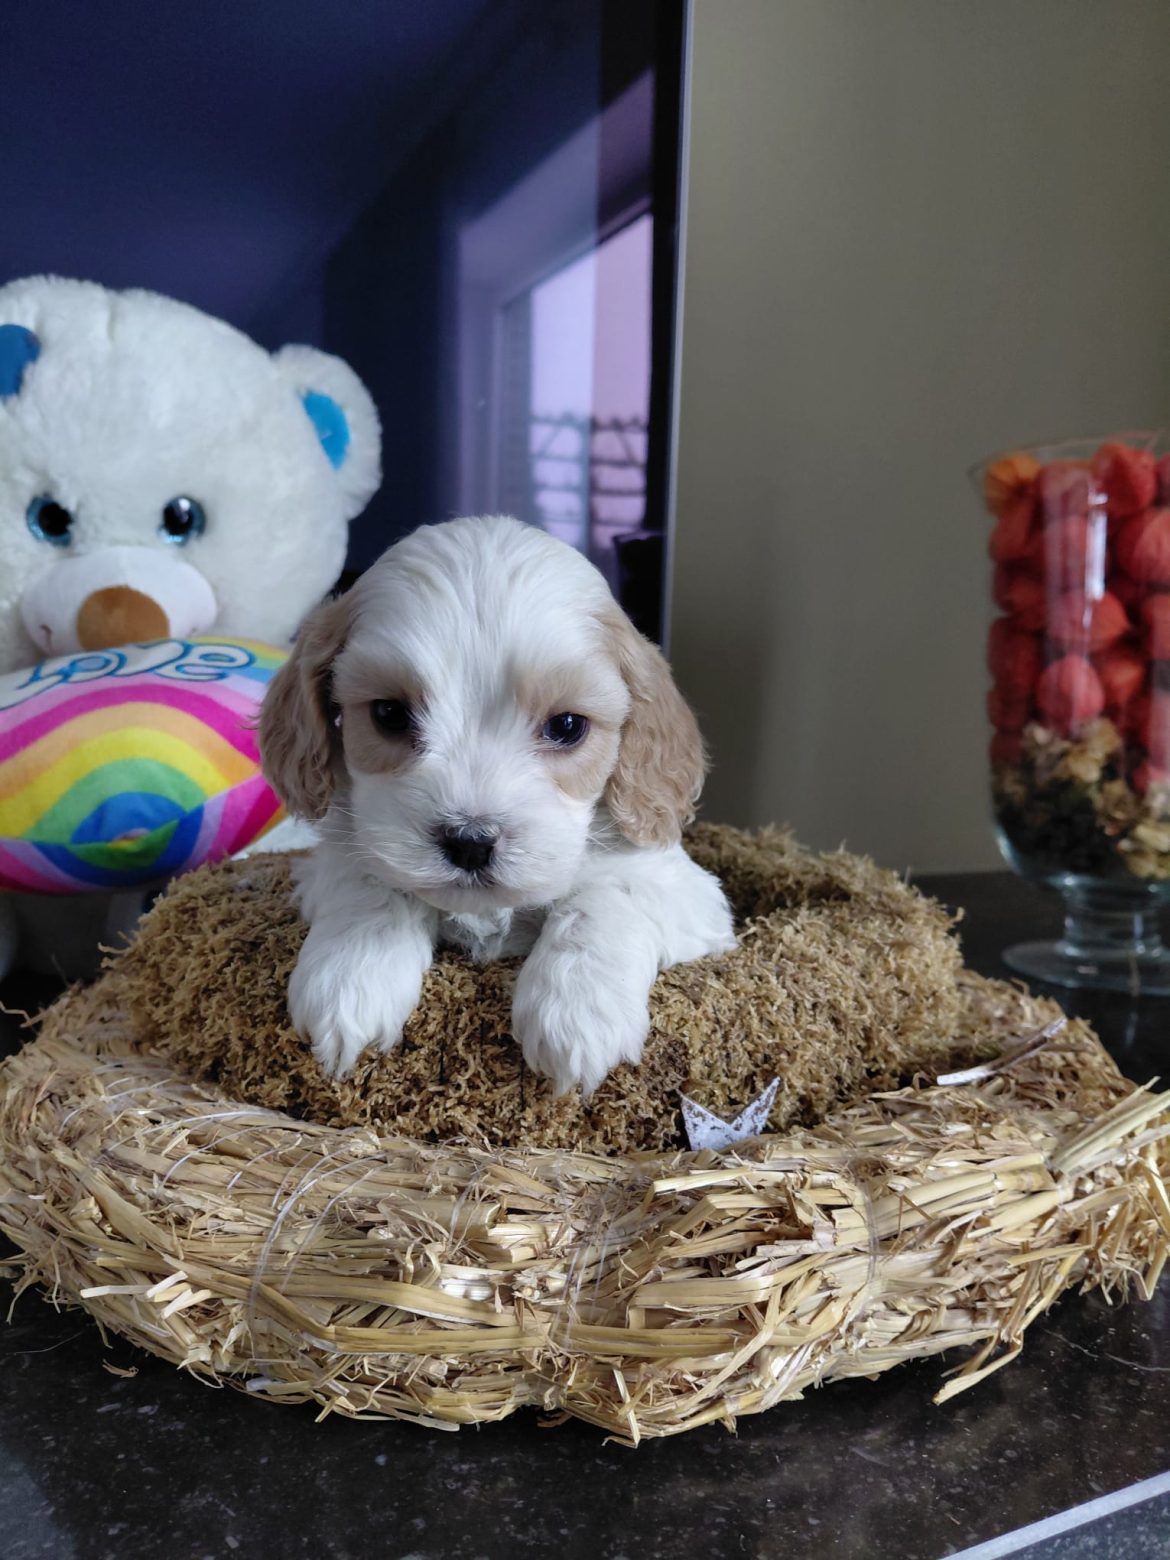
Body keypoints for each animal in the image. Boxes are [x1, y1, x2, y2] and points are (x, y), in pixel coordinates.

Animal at [259, 515, 735, 1094]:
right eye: (390, 714)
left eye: (567, 726)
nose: (470, 842)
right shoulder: (336, 857)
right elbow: (373, 885)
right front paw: (350, 981)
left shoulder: (684, 891)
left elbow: (601, 897)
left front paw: (576, 1015)